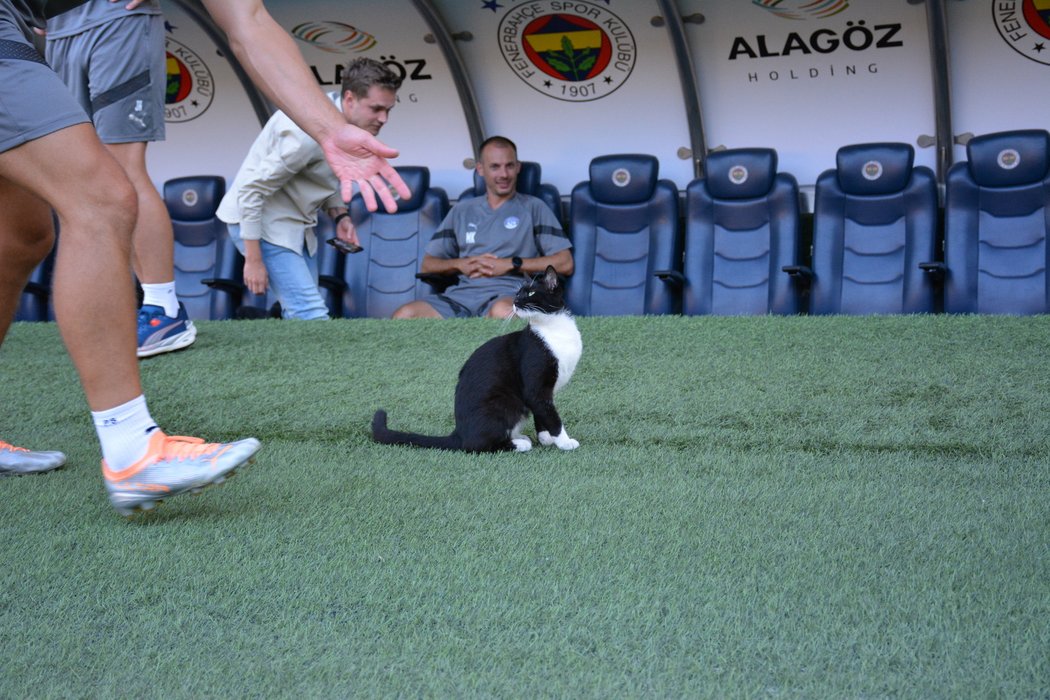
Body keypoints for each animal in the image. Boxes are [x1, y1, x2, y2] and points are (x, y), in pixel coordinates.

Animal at [371, 265, 583, 451]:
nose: (515, 302)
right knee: (476, 445)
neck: (553, 329)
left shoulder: (544, 392)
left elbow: (542, 413)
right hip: (503, 402)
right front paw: (565, 442)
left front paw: (545, 438)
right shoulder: (535, 384)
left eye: (530, 293)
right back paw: (519, 444)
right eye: (517, 294)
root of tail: (459, 433)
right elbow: (551, 417)